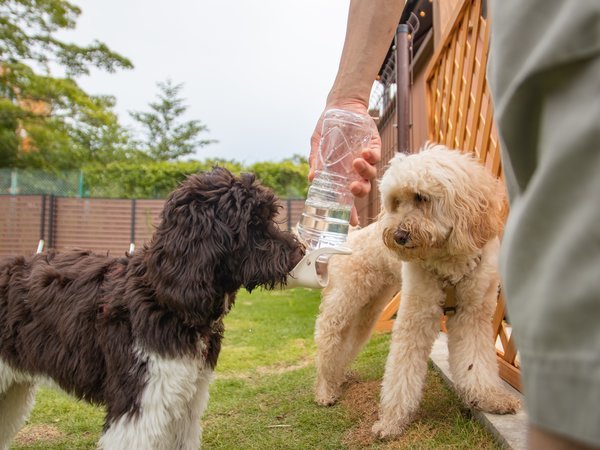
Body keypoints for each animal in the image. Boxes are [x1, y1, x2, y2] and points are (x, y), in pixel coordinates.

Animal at [314, 144, 520, 440]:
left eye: (421, 198)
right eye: (395, 202)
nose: (397, 236)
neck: (448, 262)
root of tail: (352, 235)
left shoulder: (473, 315)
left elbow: (475, 362)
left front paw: (490, 398)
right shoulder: (415, 317)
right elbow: (402, 372)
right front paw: (391, 421)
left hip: (368, 311)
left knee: (348, 344)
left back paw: (337, 379)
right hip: (343, 303)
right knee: (328, 344)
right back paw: (324, 390)